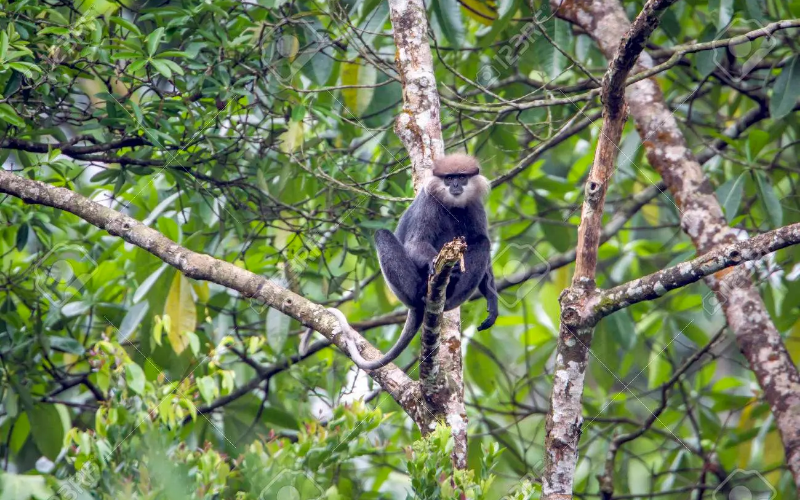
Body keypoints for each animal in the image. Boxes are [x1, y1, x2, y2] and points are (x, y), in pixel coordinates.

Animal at [328, 154, 496, 370]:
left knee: (482, 242)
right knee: (381, 234)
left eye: (461, 177)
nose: (456, 185)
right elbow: (416, 242)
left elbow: (482, 243)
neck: (452, 205)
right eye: (449, 178)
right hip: (406, 290)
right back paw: (423, 291)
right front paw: (433, 262)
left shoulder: (476, 206)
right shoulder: (428, 202)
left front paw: (492, 303)